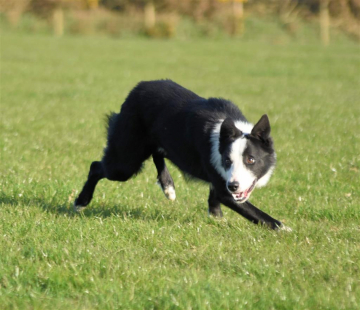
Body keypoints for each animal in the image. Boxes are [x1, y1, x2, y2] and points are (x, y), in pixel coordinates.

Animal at [76, 80, 290, 230]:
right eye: (227, 160)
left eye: (251, 160)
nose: (234, 186)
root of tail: (137, 88)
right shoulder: (226, 188)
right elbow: (256, 214)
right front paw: (284, 229)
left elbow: (215, 196)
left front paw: (216, 217)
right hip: (125, 161)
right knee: (96, 166)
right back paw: (80, 202)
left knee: (157, 153)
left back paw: (168, 187)